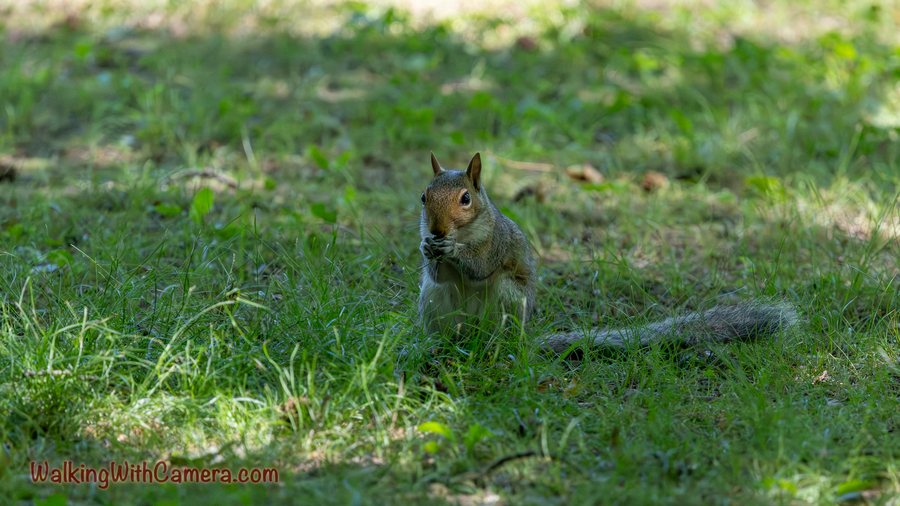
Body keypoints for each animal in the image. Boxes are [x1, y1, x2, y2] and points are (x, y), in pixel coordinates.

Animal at [418, 152, 798, 353]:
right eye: (424, 196)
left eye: (466, 198)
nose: (437, 230)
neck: (464, 232)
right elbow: (439, 271)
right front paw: (427, 248)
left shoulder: (495, 241)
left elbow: (480, 266)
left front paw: (453, 250)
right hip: (434, 301)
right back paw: (441, 345)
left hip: (508, 298)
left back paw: (495, 345)